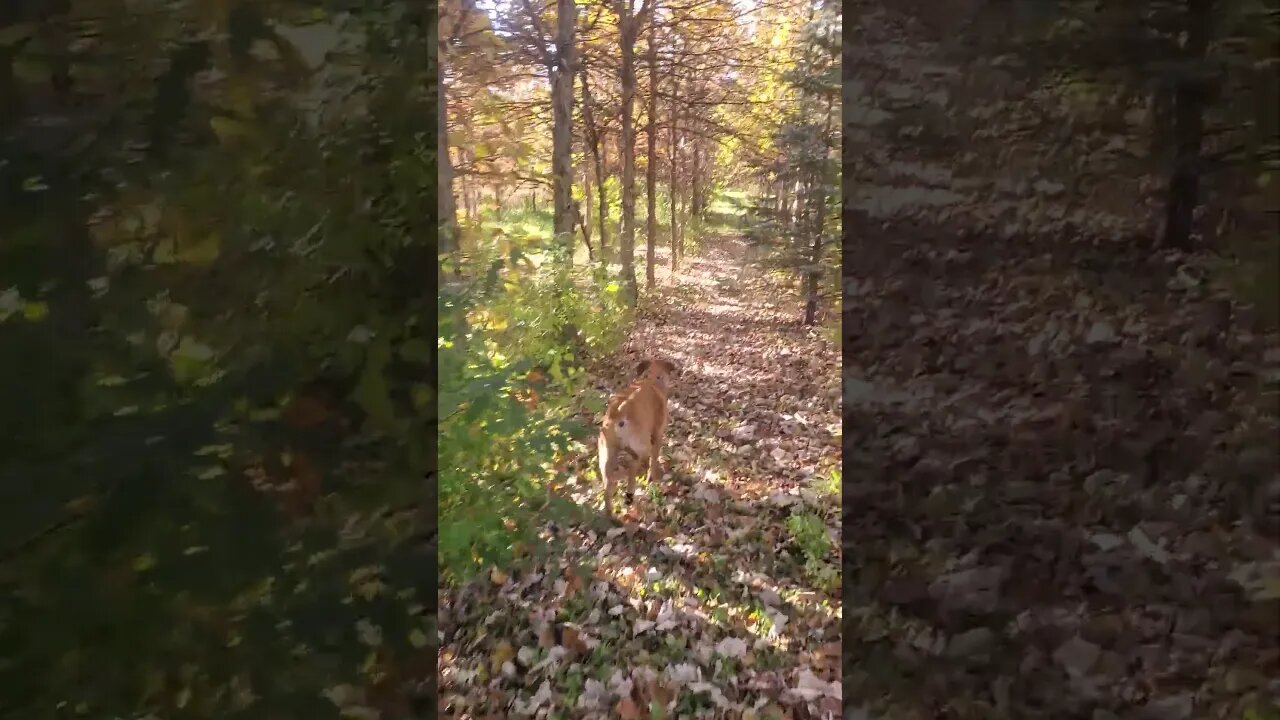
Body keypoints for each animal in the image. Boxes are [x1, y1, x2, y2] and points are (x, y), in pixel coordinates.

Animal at [599, 356, 680, 512]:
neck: (653, 379)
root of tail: (618, 413)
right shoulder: (657, 436)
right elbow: (653, 462)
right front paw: (652, 477)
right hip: (643, 446)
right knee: (631, 471)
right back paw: (630, 492)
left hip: (606, 455)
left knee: (609, 486)